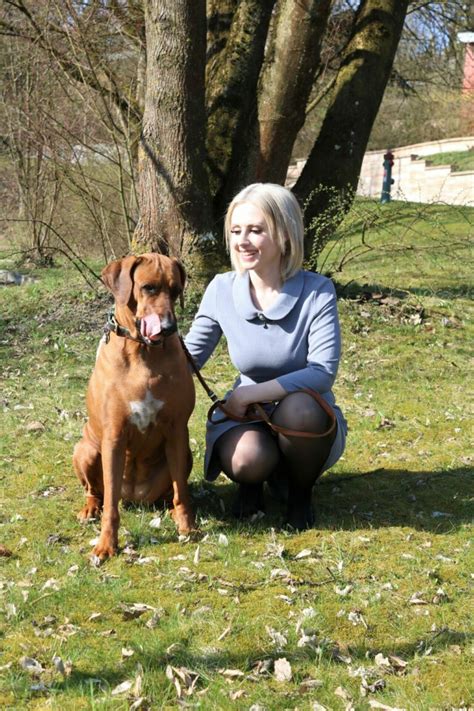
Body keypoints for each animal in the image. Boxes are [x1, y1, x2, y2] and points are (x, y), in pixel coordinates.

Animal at [73, 253, 195, 560]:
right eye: (148, 287)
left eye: (176, 290)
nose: (169, 327)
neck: (143, 351)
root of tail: (135, 497)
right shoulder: (114, 436)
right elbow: (110, 507)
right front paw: (106, 543)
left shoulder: (177, 430)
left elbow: (181, 490)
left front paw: (187, 525)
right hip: (85, 450)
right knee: (98, 493)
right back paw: (90, 508)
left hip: (185, 454)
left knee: (173, 490)